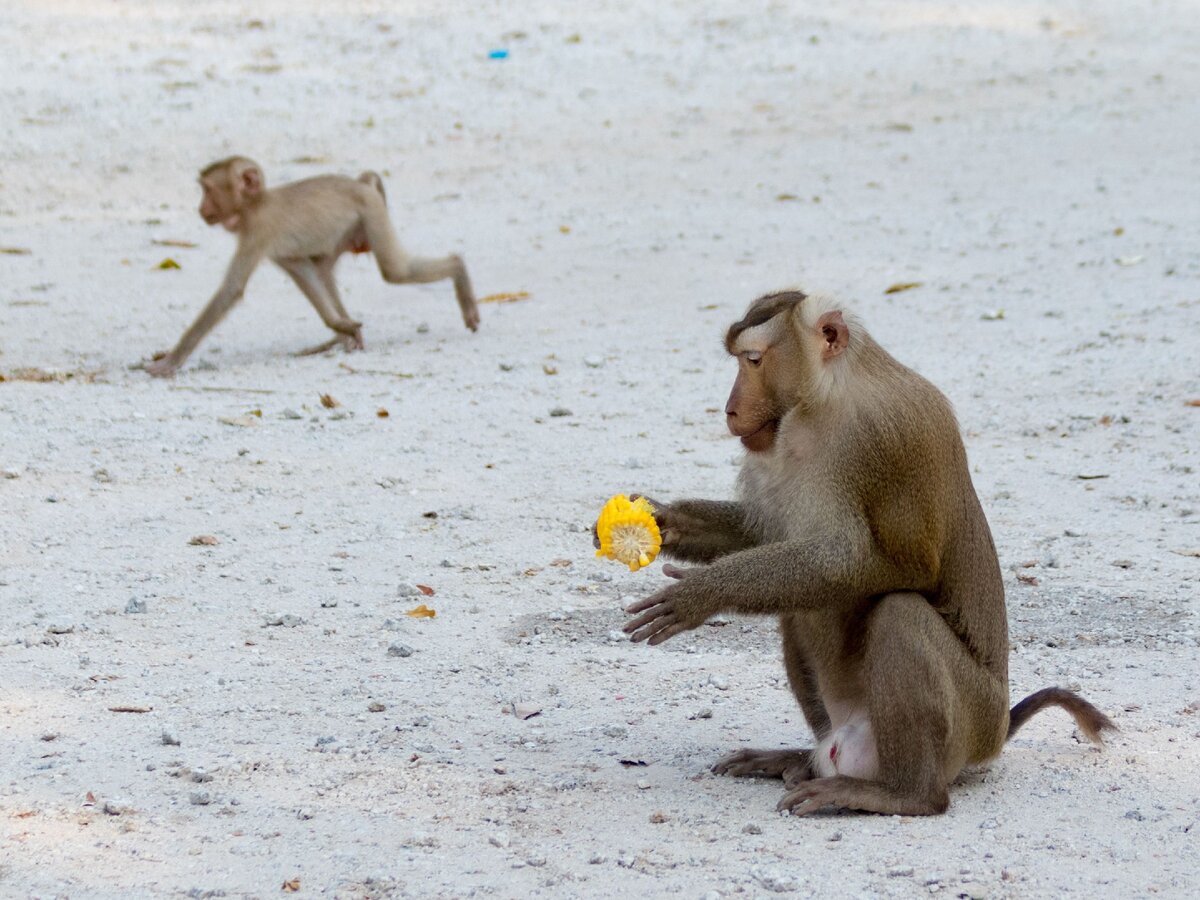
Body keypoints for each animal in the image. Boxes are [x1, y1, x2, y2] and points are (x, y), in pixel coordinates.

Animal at [142, 158, 475, 376]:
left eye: (208, 190)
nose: (200, 208)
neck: (256, 204)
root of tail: (360, 183)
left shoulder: (258, 231)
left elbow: (231, 290)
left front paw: (169, 363)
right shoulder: (269, 242)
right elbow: (300, 269)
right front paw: (342, 326)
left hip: (371, 212)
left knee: (395, 271)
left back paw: (460, 275)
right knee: (324, 270)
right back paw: (341, 335)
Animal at [619, 290, 1113, 816]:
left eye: (752, 360)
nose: (729, 409)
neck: (826, 400)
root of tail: (995, 735)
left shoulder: (888, 438)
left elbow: (889, 564)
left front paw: (703, 593)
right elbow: (766, 536)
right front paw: (667, 523)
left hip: (970, 723)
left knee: (900, 613)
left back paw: (905, 793)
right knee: (798, 608)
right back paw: (800, 760)